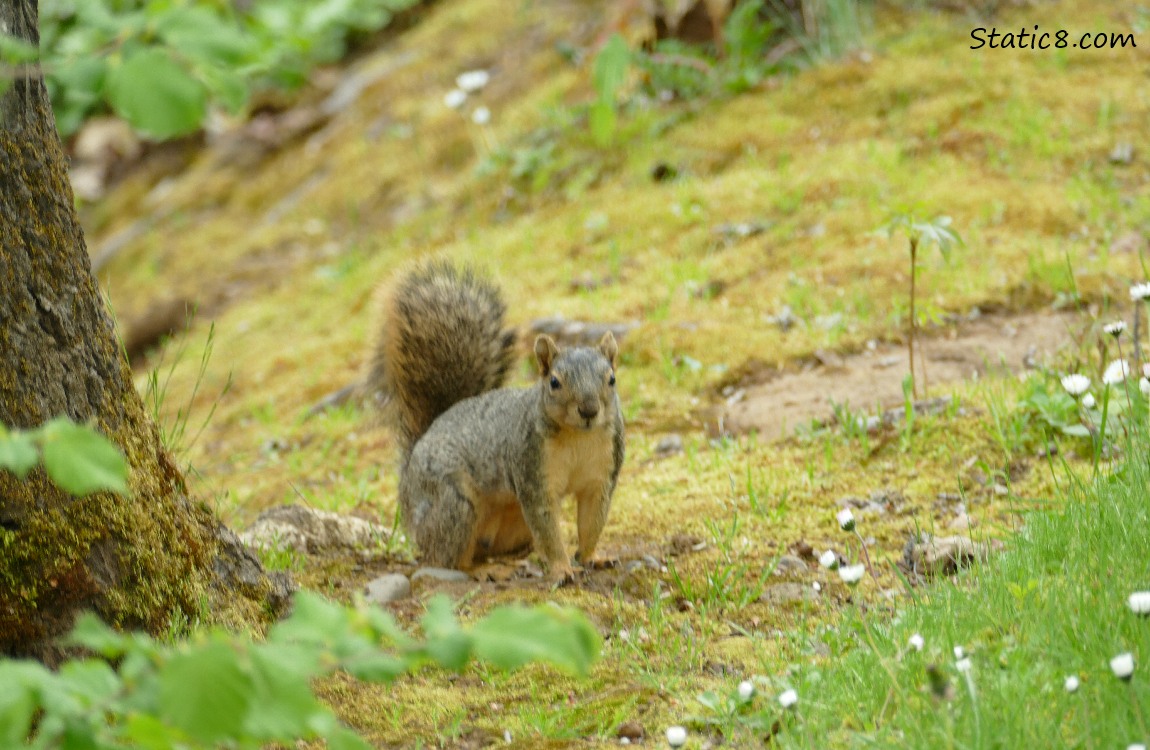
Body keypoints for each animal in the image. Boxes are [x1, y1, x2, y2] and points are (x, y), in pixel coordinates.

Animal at [368, 261, 625, 582]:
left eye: (611, 379)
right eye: (554, 382)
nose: (589, 410)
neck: (578, 436)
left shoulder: (601, 476)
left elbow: (592, 522)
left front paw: (593, 557)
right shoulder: (532, 473)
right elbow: (548, 529)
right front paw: (562, 568)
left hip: (514, 525)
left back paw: (517, 560)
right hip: (454, 506)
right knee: (448, 559)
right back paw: (485, 570)